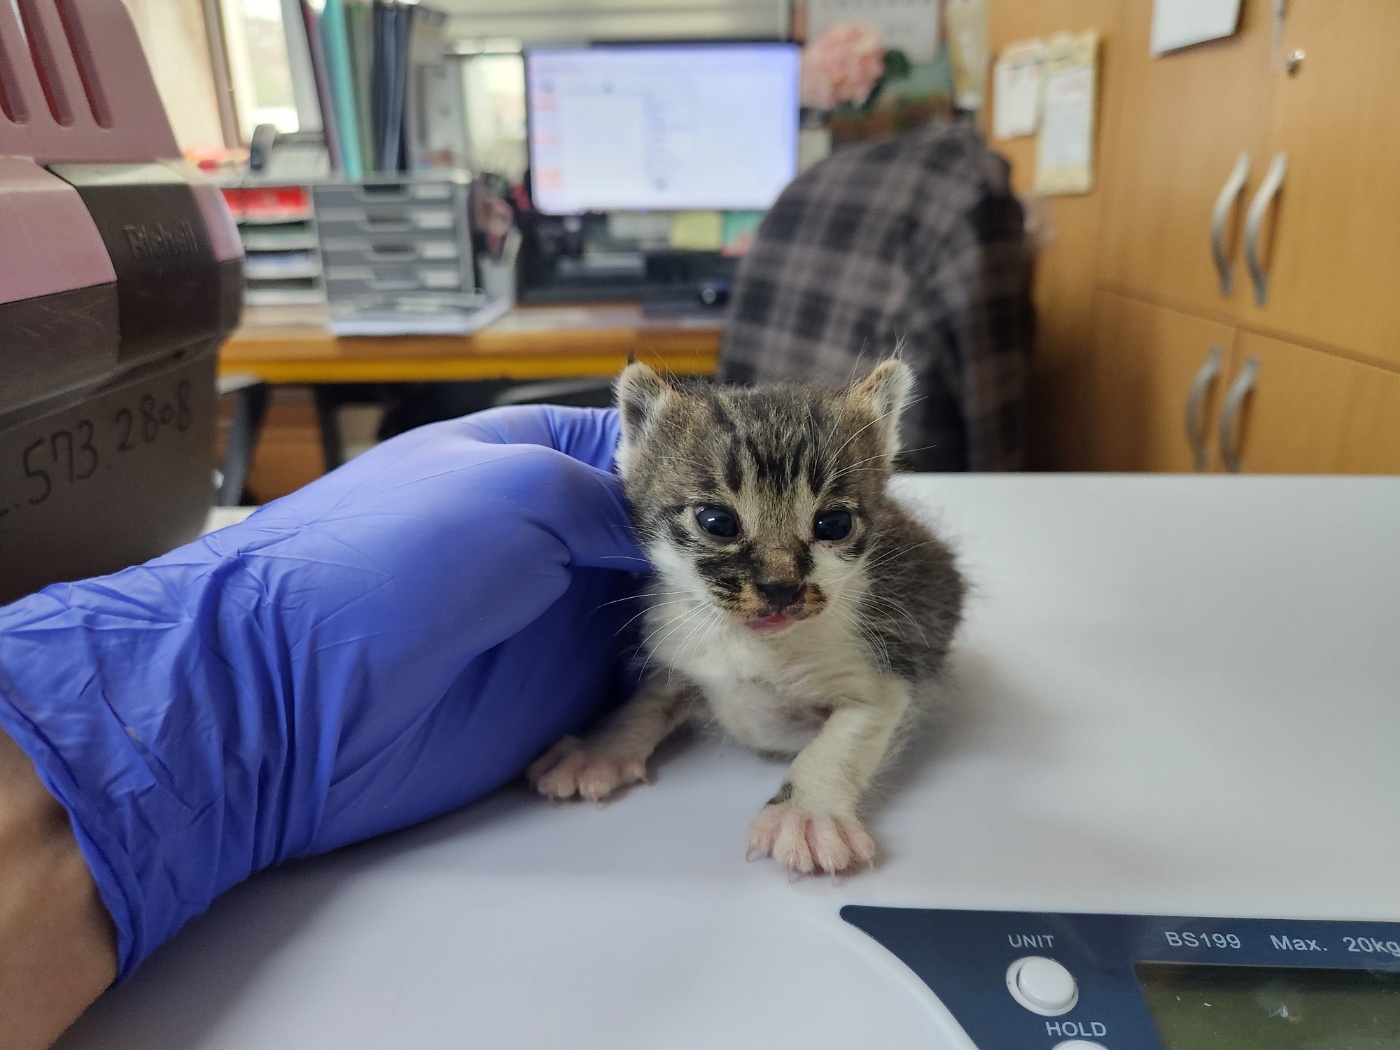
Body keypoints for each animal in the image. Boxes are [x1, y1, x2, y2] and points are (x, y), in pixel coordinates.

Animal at [526, 361, 963, 879]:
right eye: (717, 522)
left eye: (833, 525)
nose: (781, 587)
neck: (752, 647)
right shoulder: (681, 651)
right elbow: (646, 702)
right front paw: (599, 751)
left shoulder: (889, 667)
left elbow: (841, 742)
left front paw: (807, 813)